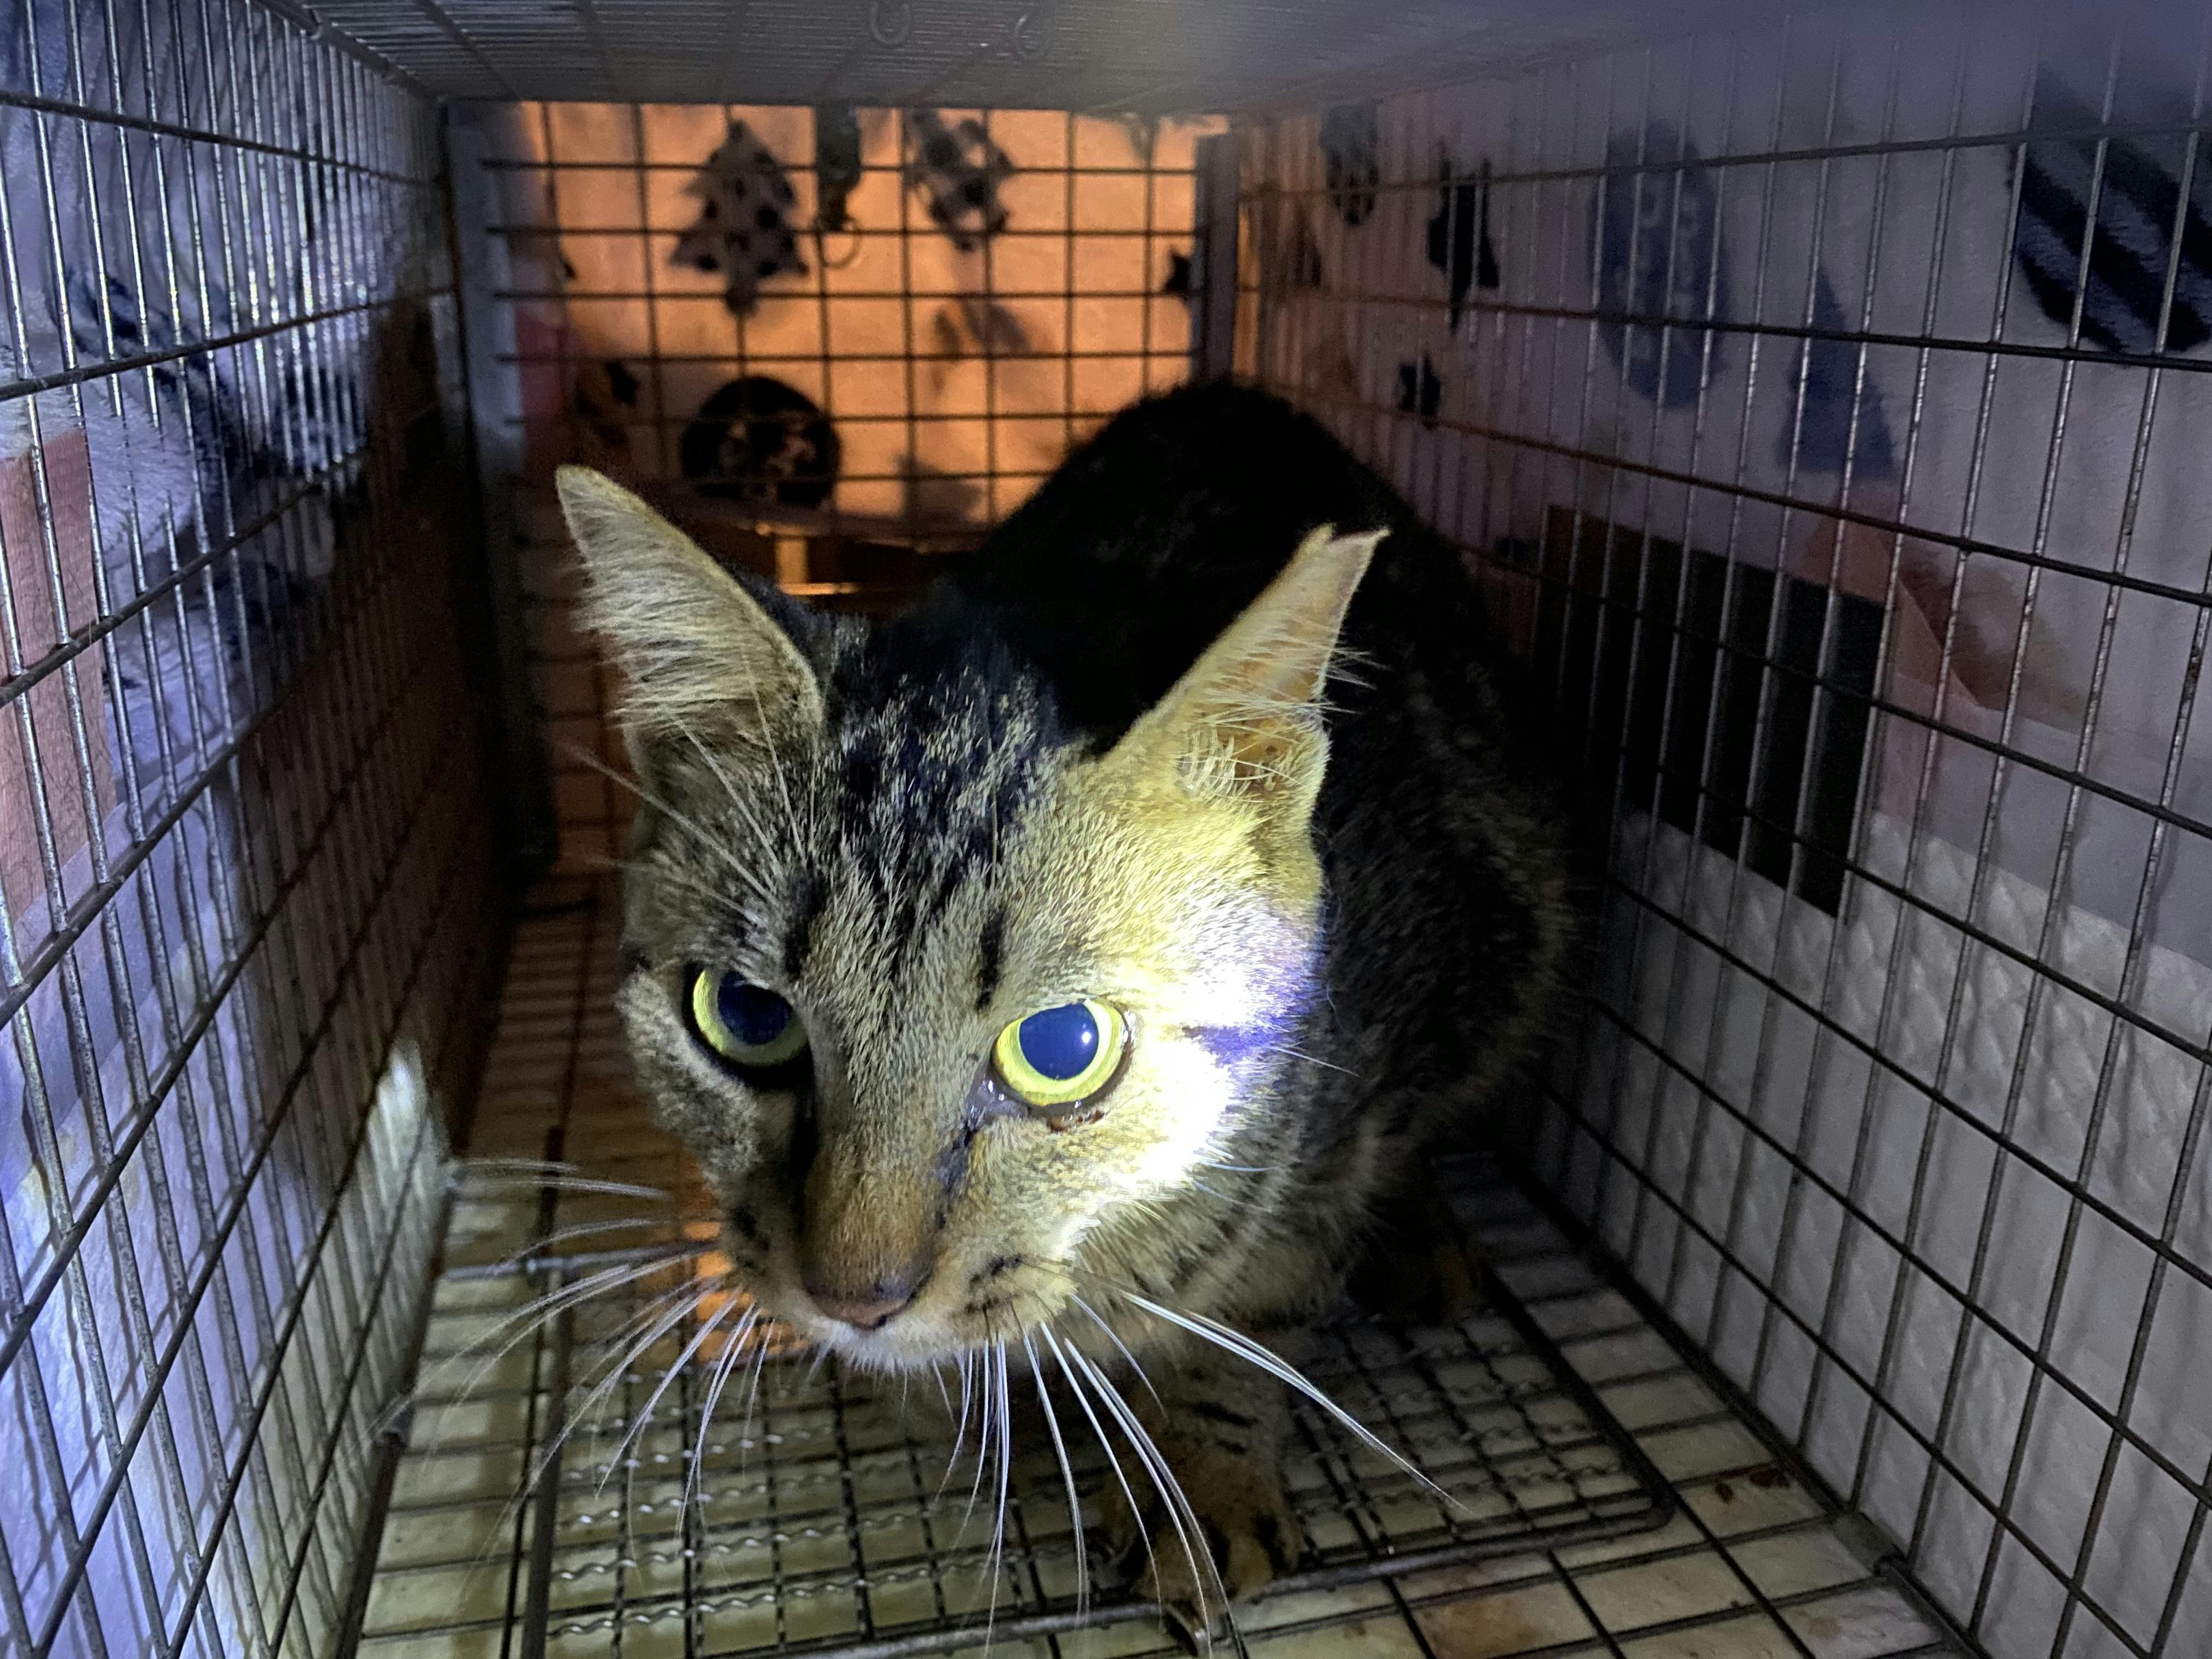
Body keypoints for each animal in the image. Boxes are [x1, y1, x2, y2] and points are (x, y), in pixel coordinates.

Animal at [557, 379, 1570, 1627]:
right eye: (745, 1014)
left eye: (1063, 1046)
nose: (853, 1298)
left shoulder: (1335, 1131)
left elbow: (1250, 1323)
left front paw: (1205, 1474)